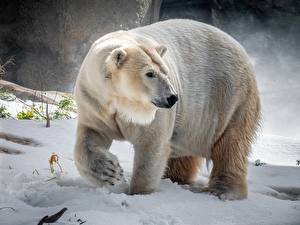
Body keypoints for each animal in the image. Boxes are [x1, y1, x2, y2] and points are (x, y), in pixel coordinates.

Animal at [73, 18, 260, 199]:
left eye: (165, 71)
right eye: (150, 73)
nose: (172, 97)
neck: (122, 103)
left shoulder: (153, 115)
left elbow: (151, 146)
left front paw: (139, 193)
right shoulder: (95, 101)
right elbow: (91, 136)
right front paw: (110, 171)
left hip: (229, 97)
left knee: (231, 143)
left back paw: (223, 190)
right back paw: (174, 177)